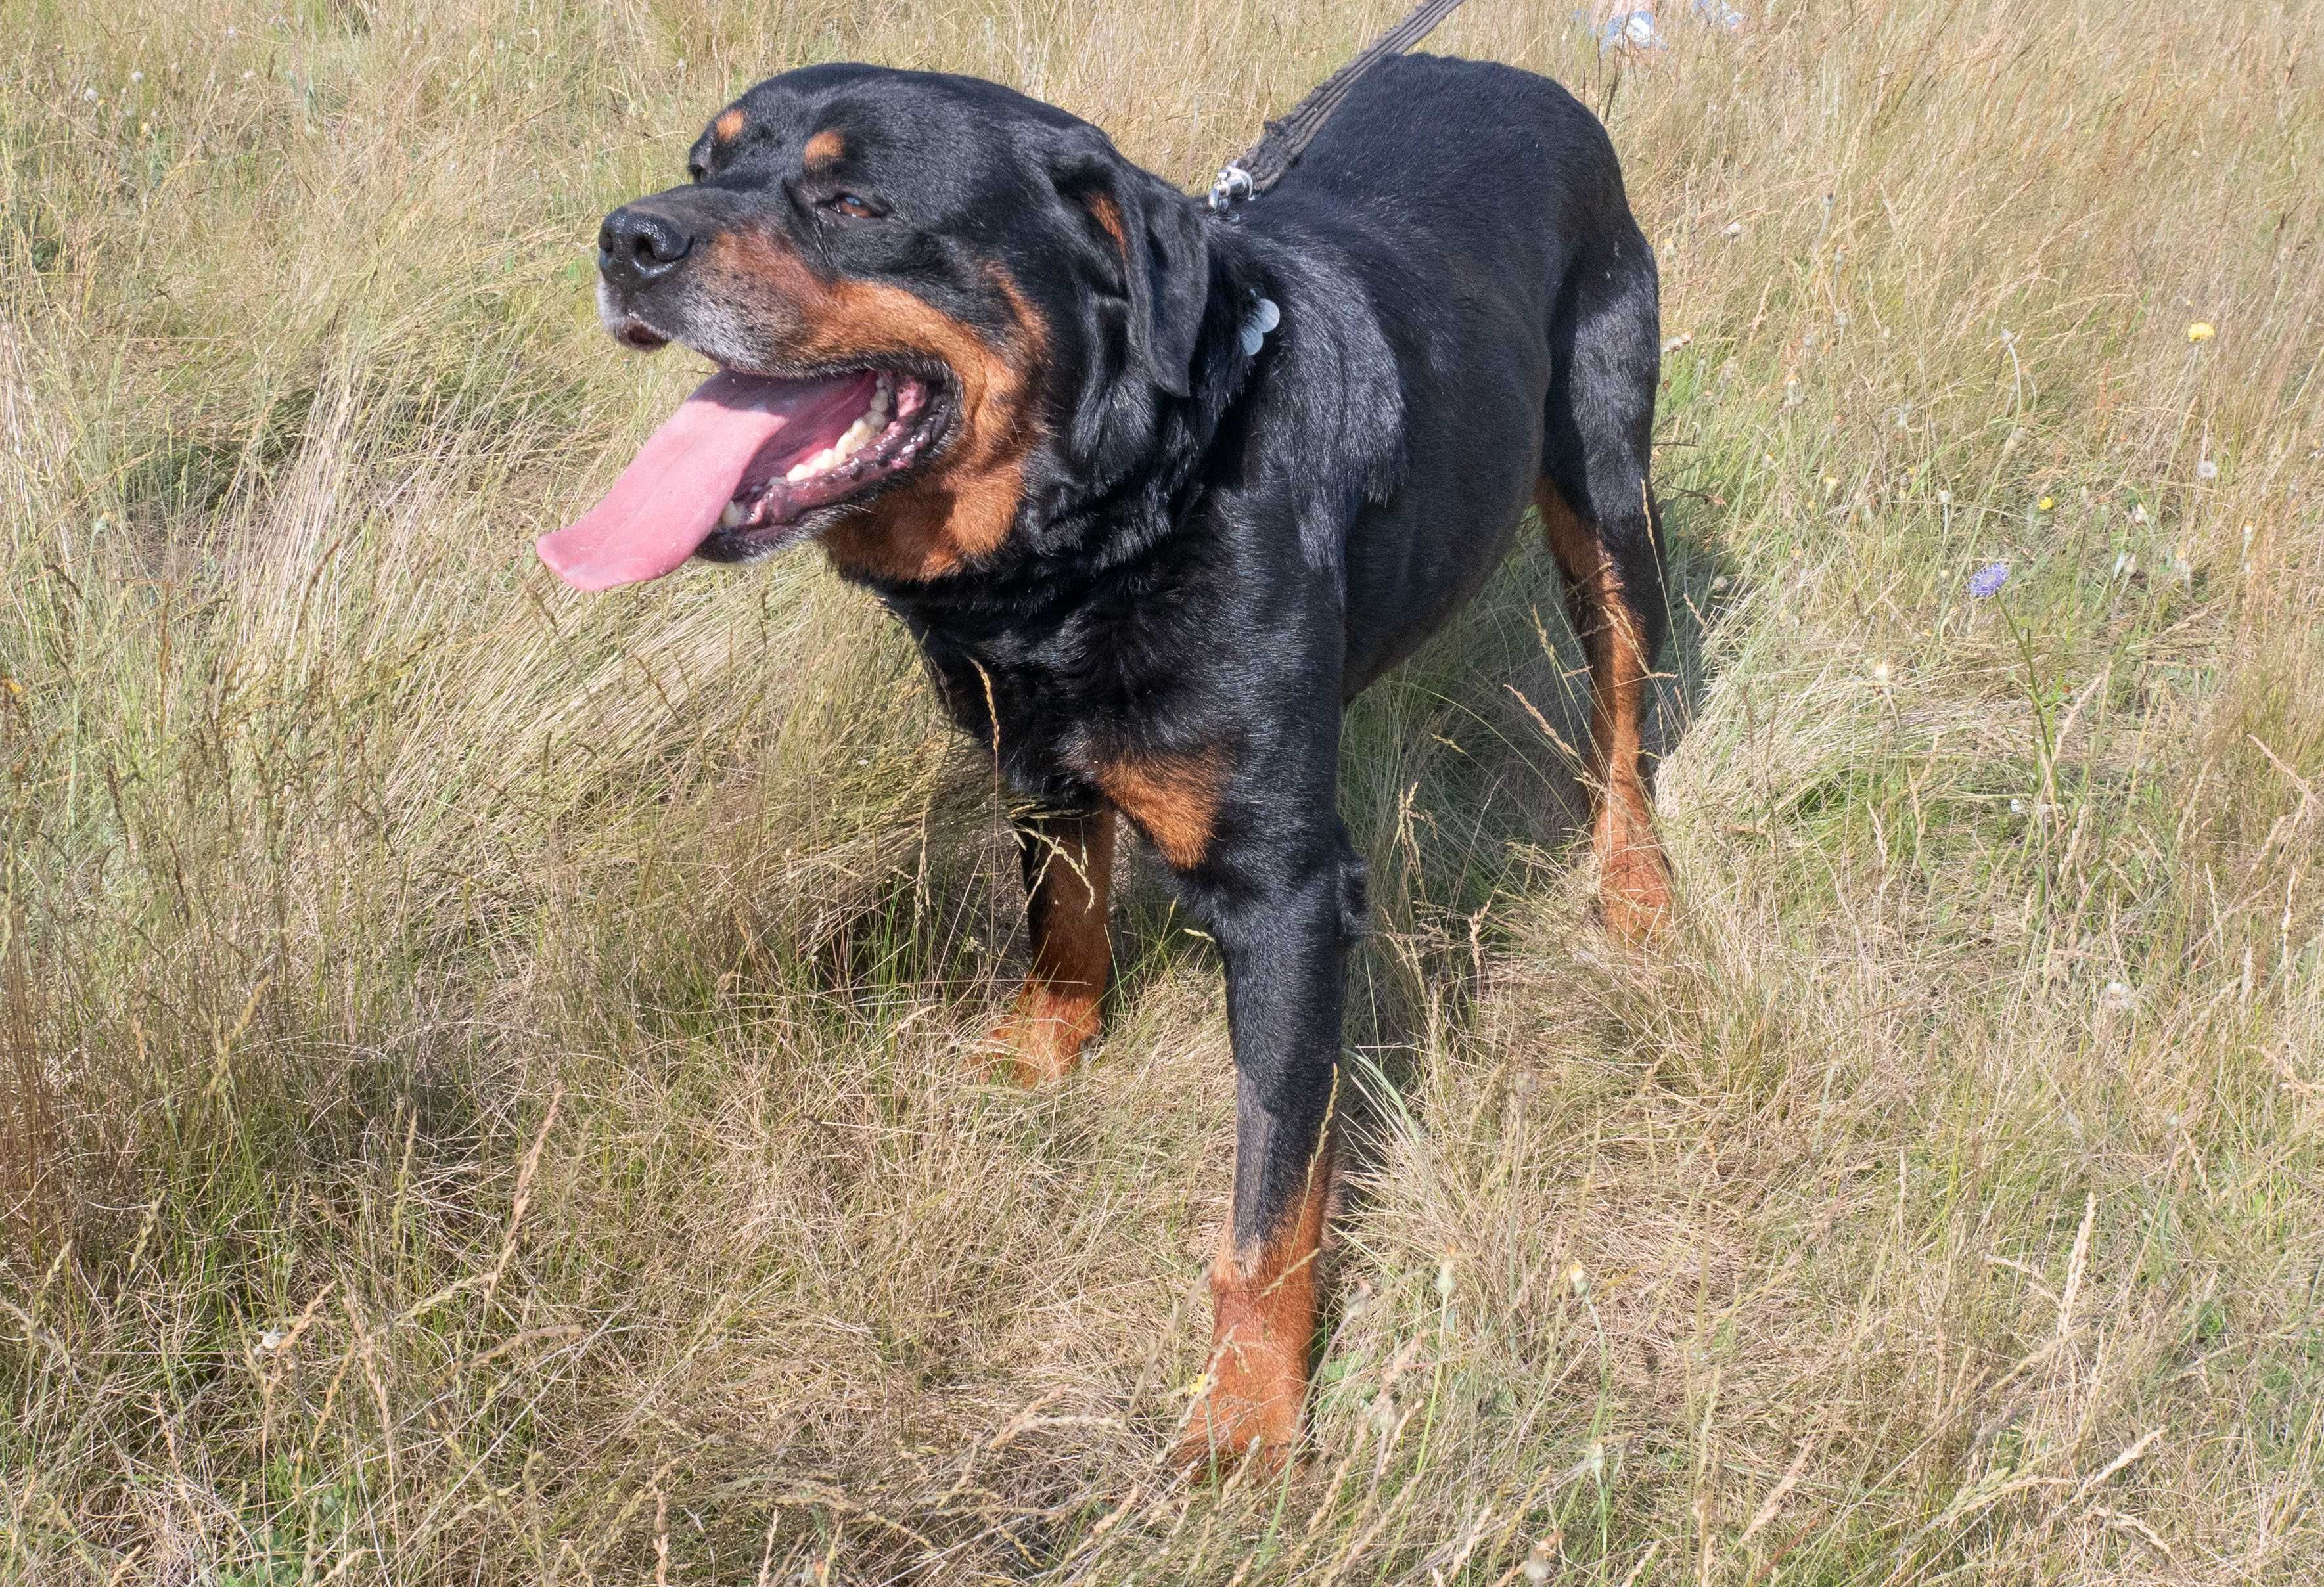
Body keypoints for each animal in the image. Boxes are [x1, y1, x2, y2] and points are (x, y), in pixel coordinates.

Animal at [539, 55, 1673, 1468]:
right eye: (704, 166)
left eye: (852, 202)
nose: (626, 238)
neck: (1115, 519)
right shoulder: (1030, 748)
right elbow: (1063, 919)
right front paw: (1042, 1052)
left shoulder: (1287, 894)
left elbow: (1268, 1200)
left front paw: (1246, 1411)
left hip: (1606, 499)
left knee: (1623, 711)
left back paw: (1634, 883)